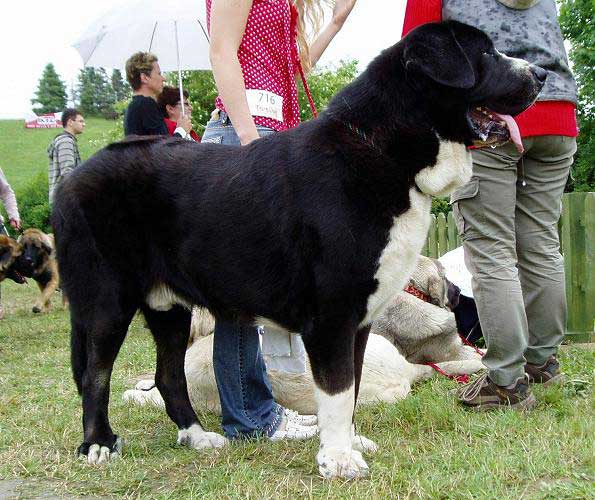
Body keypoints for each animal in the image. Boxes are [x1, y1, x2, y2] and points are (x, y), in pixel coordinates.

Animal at [51, 21, 544, 478]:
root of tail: (74, 179)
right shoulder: (331, 317)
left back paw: (197, 436)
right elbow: (338, 390)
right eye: (485, 53)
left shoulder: (359, 320)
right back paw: (98, 444)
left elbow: (351, 388)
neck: (383, 151)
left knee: (168, 375)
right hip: (106, 302)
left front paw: (347, 445)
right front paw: (339, 460)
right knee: (95, 374)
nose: (540, 73)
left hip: (169, 307)